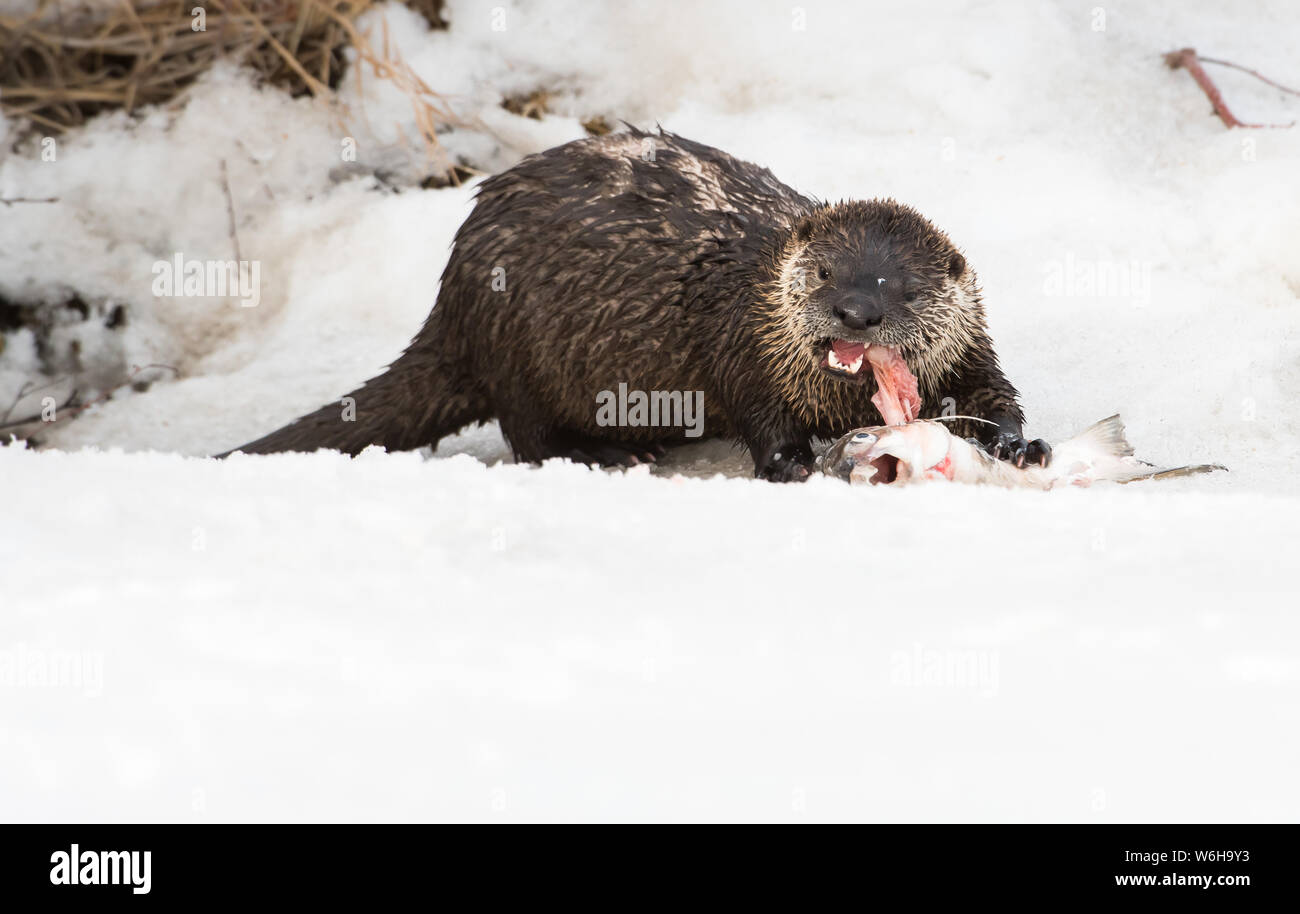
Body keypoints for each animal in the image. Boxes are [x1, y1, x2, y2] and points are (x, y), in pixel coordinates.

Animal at [224, 128, 1049, 479]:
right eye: (825, 274)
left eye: (906, 289)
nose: (855, 313)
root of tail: (453, 302)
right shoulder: (740, 344)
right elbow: (758, 415)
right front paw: (793, 464)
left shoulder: (971, 344)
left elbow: (994, 393)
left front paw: (1020, 444)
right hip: (518, 345)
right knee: (527, 433)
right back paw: (614, 450)